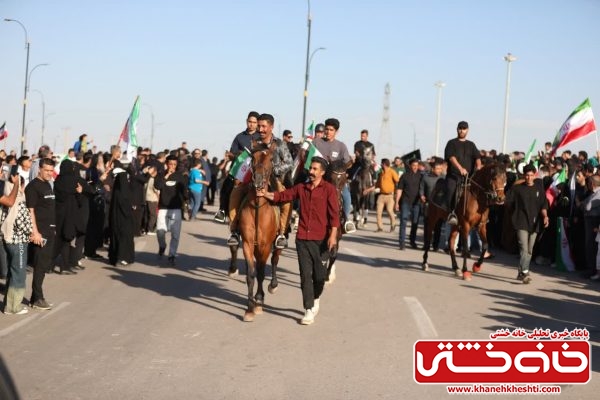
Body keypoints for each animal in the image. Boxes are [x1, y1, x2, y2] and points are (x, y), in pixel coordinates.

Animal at [227, 146, 282, 322]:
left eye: (271, 159)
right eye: (253, 158)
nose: (257, 180)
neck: (258, 206)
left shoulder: (265, 245)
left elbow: (261, 272)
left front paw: (258, 300)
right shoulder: (248, 243)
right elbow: (251, 274)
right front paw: (250, 308)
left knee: (275, 259)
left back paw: (272, 286)